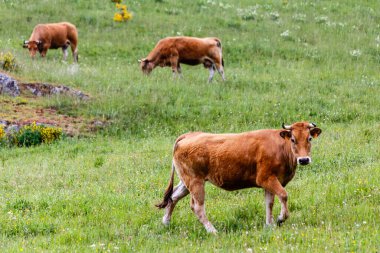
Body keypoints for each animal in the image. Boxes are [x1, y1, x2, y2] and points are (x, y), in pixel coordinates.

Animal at [156, 122, 322, 233]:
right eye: (293, 139)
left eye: (309, 139)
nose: (304, 160)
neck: (280, 147)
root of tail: (189, 135)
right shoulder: (266, 178)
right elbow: (283, 195)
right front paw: (281, 218)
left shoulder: (270, 182)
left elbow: (269, 203)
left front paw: (269, 225)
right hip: (195, 182)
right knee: (197, 206)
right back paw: (213, 231)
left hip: (186, 181)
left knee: (173, 196)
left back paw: (166, 223)